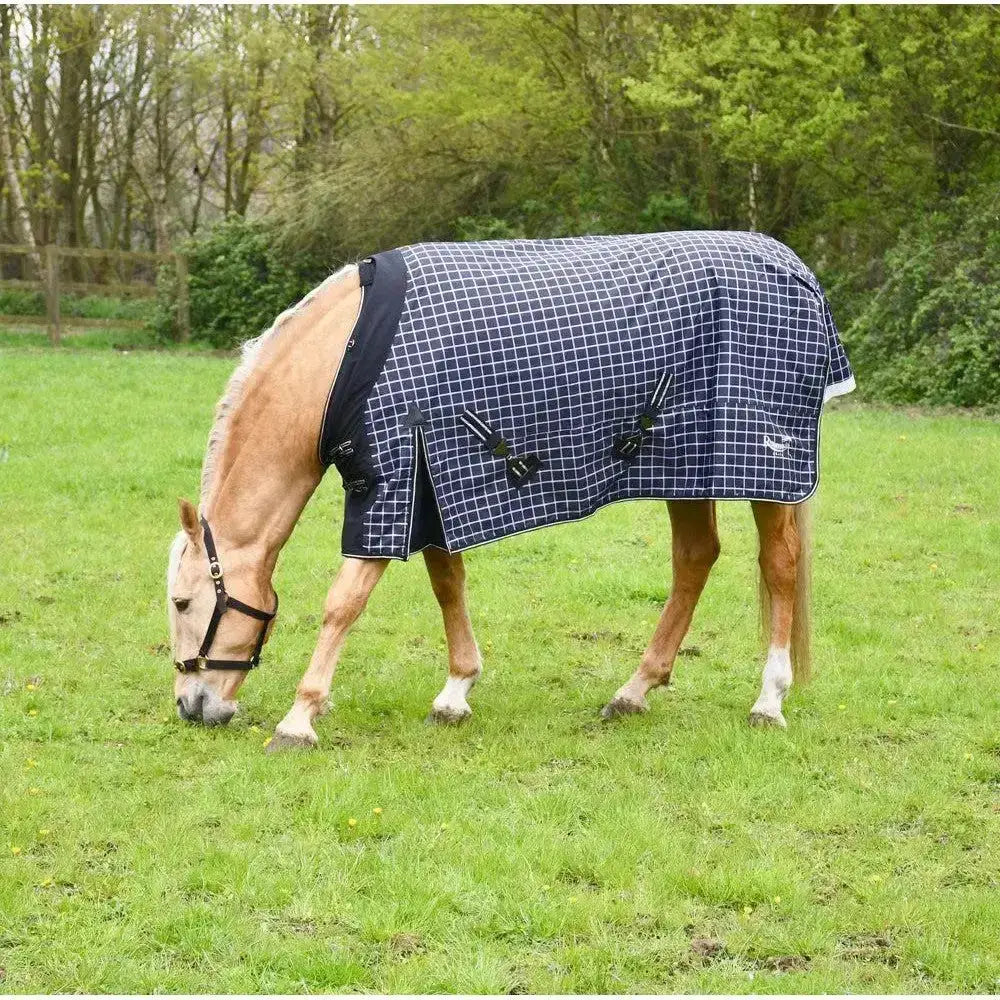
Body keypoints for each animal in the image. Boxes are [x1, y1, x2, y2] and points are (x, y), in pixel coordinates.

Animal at [166, 233, 853, 748]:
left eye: (181, 602)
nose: (190, 707)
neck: (347, 358)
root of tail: (795, 268)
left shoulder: (390, 485)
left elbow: (344, 602)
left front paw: (300, 717)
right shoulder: (433, 485)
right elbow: (447, 582)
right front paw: (455, 691)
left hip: (767, 469)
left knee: (780, 566)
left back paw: (768, 700)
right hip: (684, 464)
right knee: (695, 559)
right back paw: (633, 691)